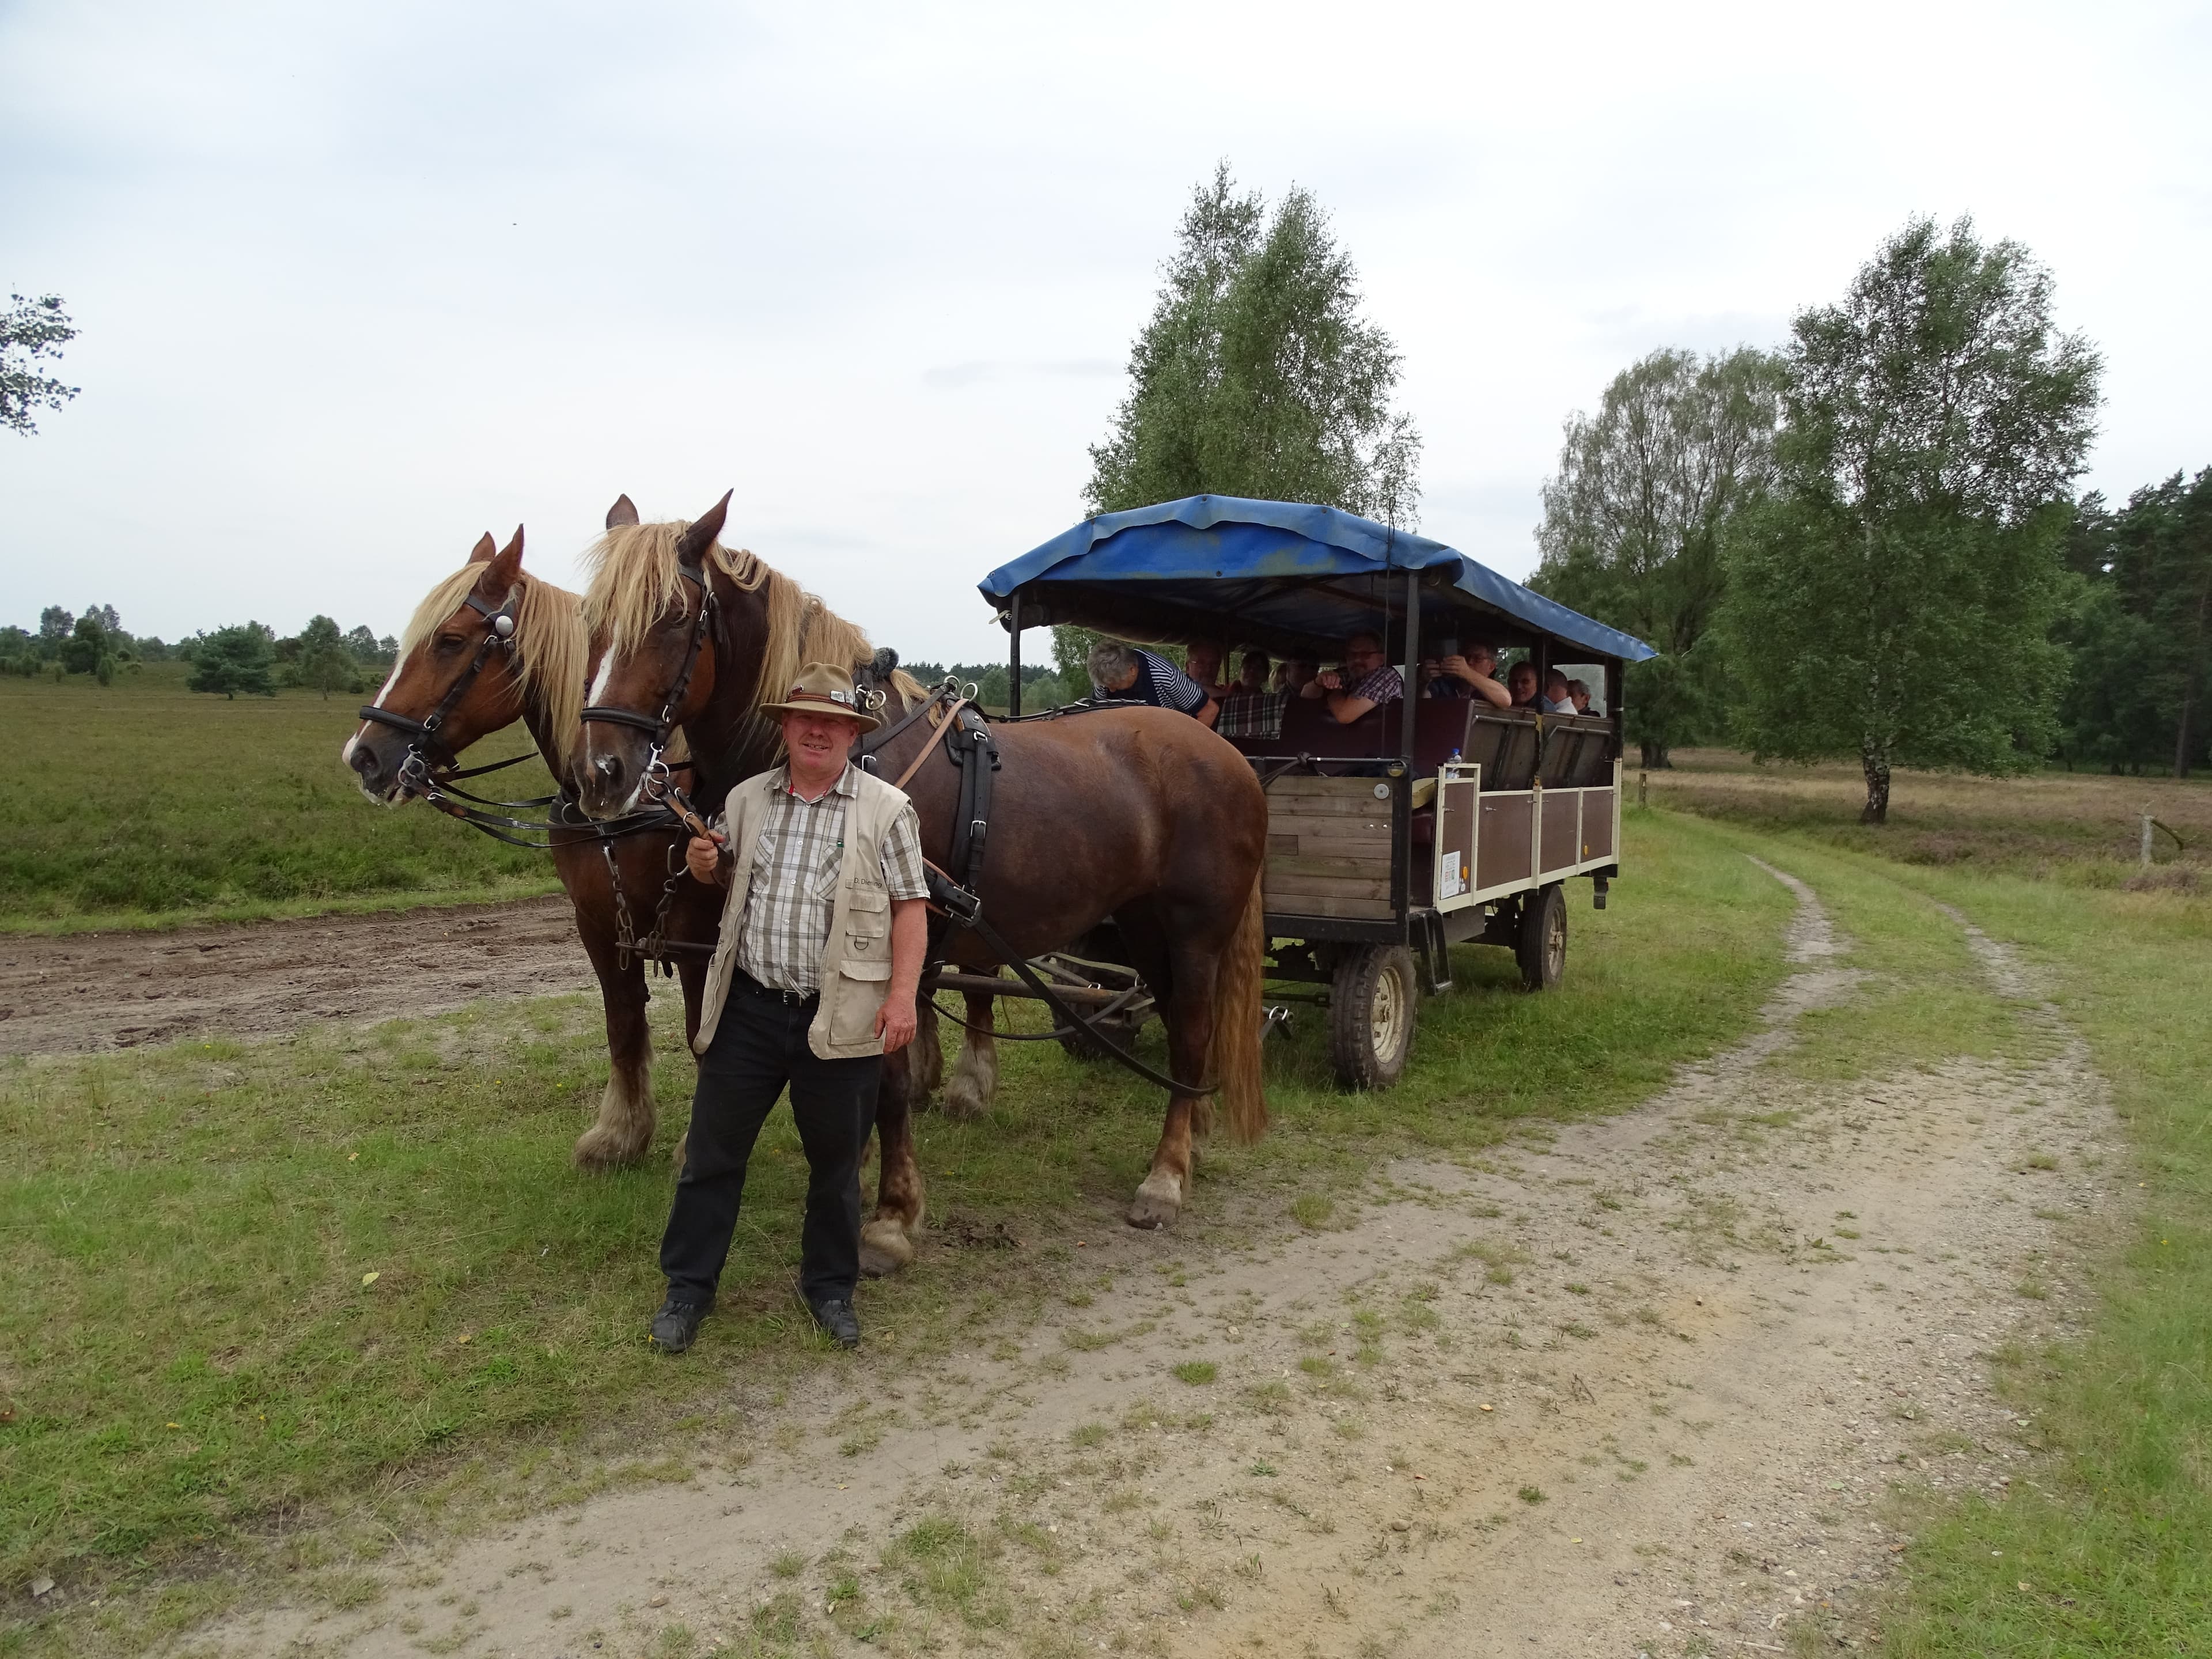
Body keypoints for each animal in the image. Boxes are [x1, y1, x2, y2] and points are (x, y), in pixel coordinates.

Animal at [566, 493, 1283, 1238]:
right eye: (591, 621)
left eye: (674, 619)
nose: (598, 773)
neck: (852, 753)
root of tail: (1229, 757)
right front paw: (855, 1186)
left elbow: (889, 1081)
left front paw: (893, 1212)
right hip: (1144, 926)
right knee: (1180, 1024)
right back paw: (1194, 1131)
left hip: (1196, 931)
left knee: (1193, 1030)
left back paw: (1166, 1174)